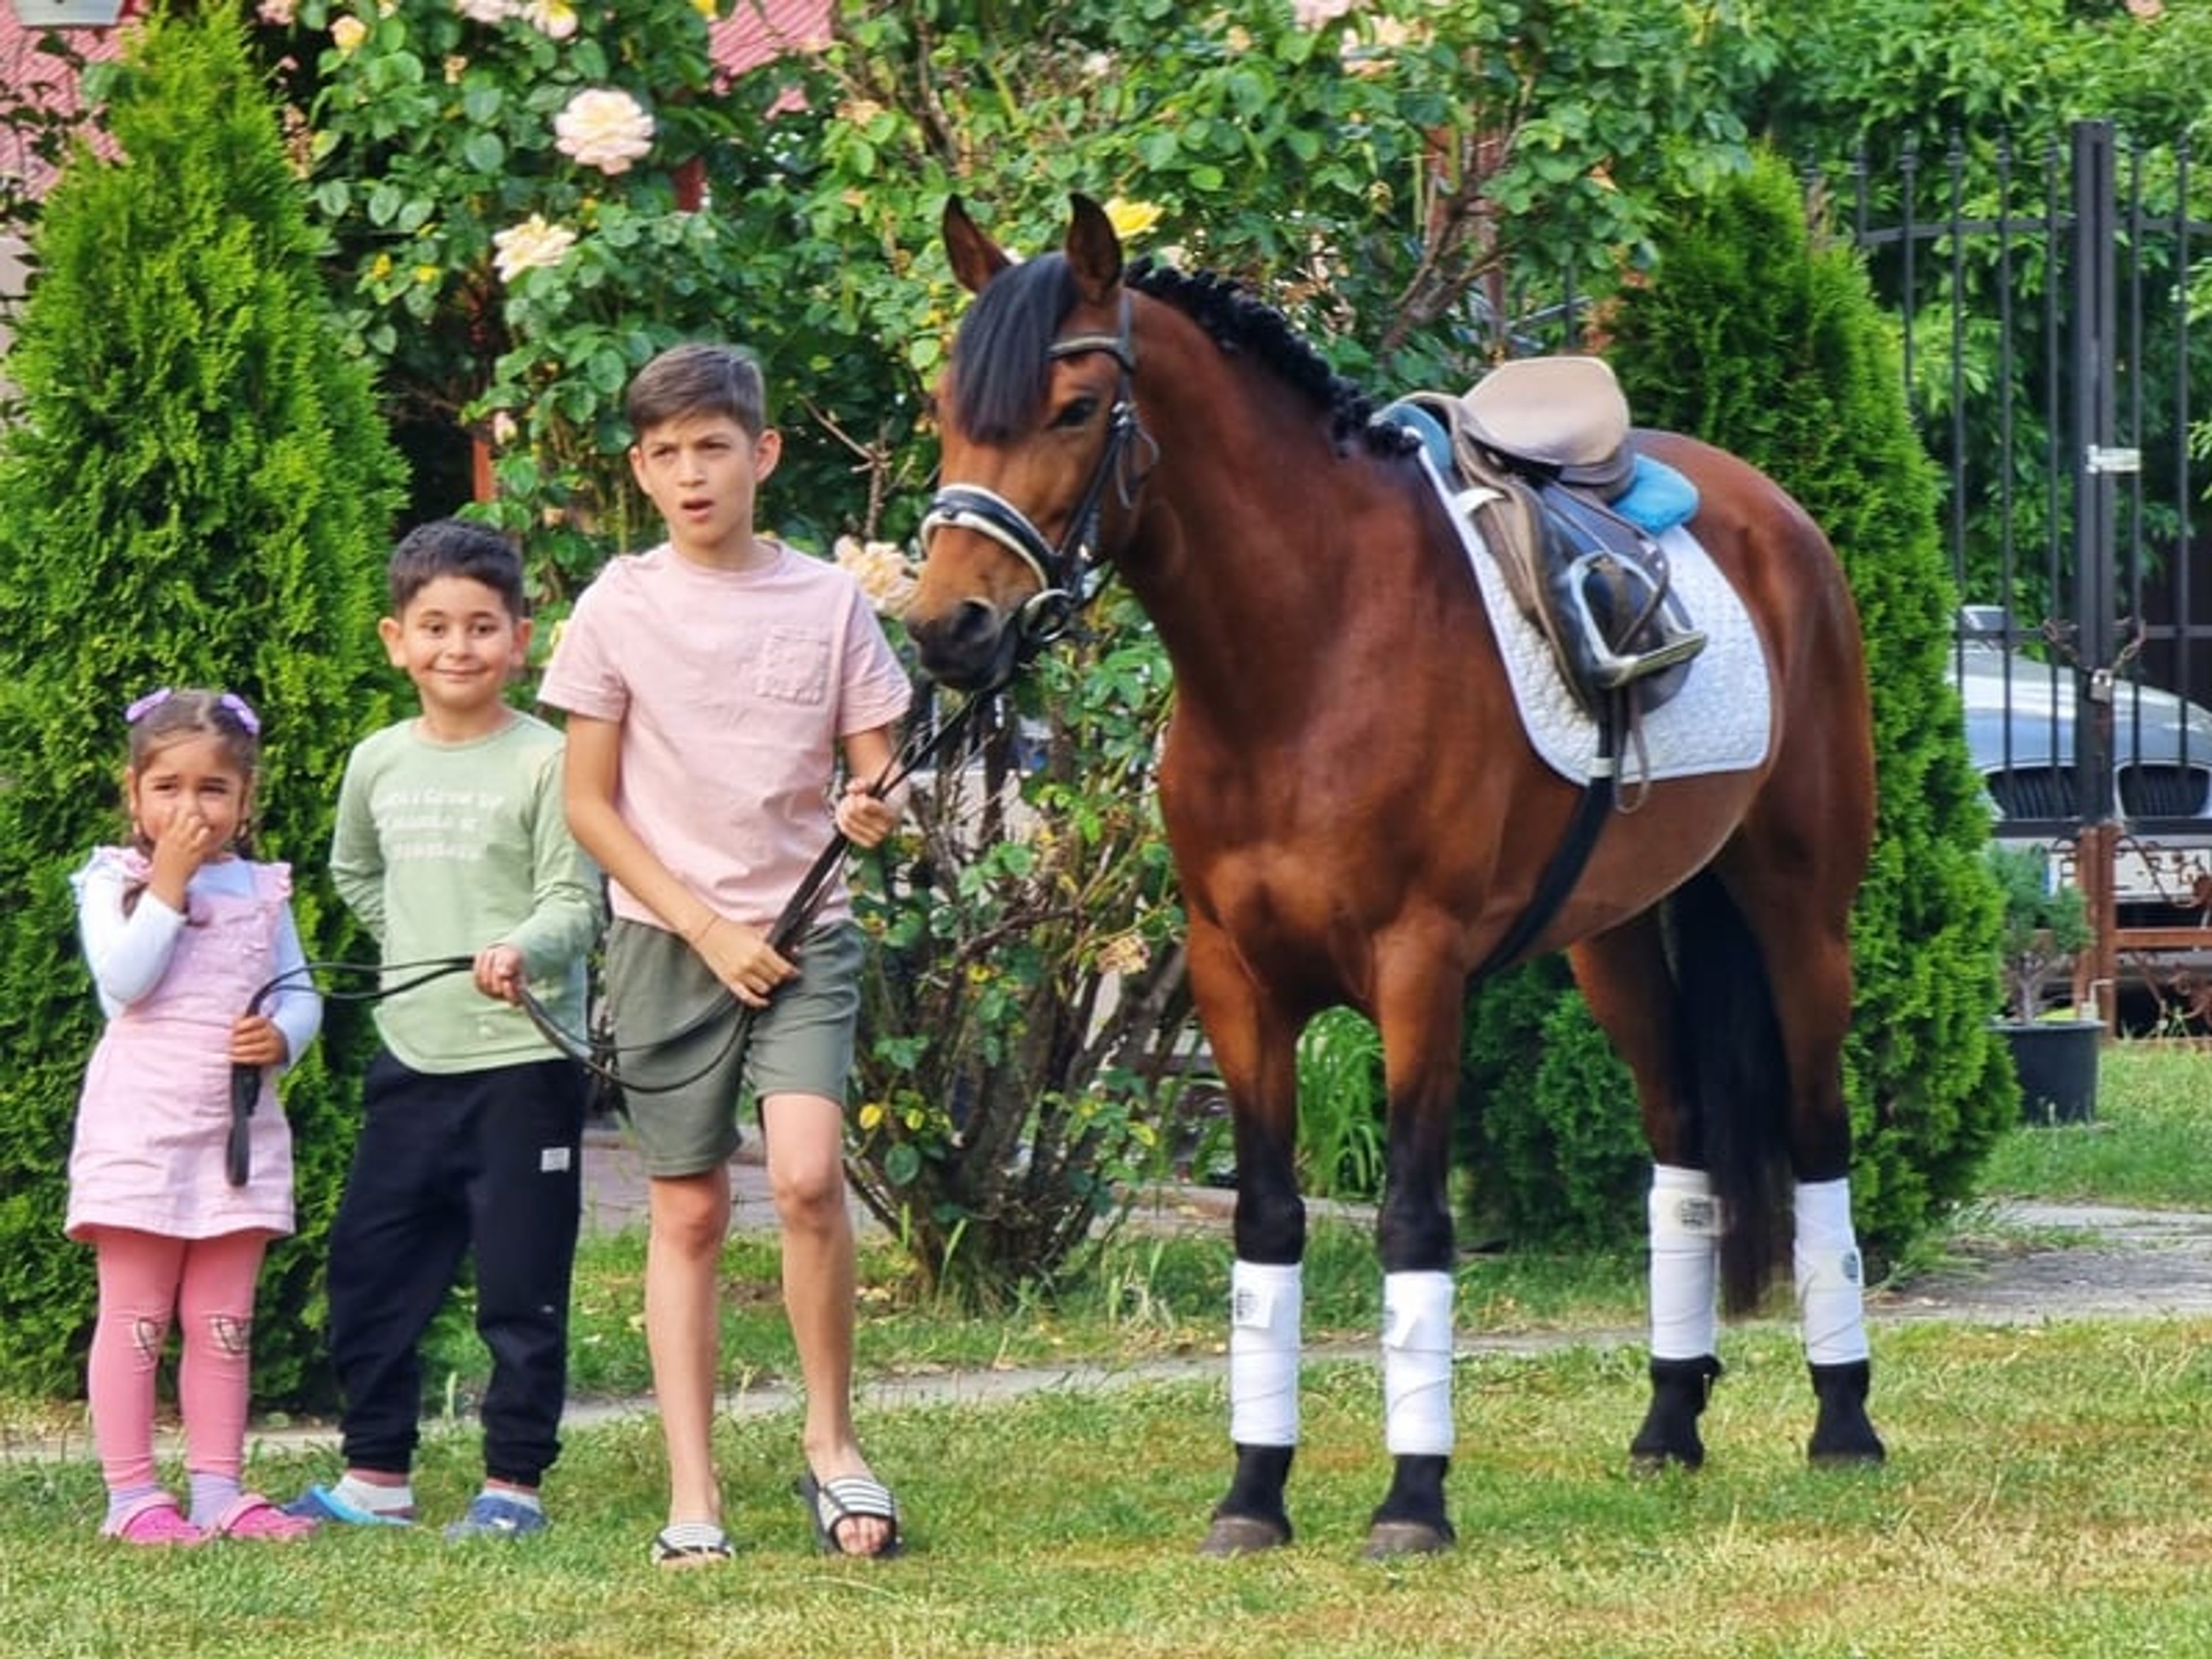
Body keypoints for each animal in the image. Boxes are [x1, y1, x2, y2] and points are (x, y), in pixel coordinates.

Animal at [904, 195, 1886, 1559]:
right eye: (948, 405)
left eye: (1071, 407)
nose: (951, 628)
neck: (1306, 654)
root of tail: (1775, 516)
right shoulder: (1235, 980)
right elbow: (1267, 1222)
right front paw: (1254, 1491)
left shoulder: (1421, 973)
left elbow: (1417, 1222)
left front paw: (1415, 1496)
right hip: (1615, 941)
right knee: (1682, 1143)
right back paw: (1668, 1422)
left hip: (1800, 909)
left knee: (1815, 1135)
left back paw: (1845, 1422)